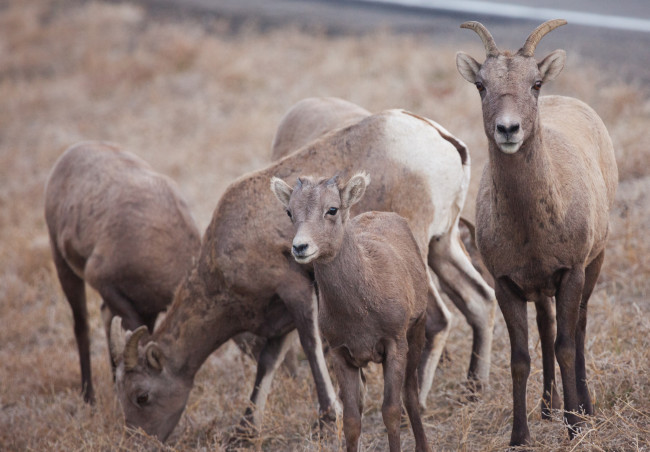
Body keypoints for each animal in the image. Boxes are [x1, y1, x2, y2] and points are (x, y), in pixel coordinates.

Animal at [44, 141, 200, 402]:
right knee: (82, 326)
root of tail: (70, 154)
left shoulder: (146, 309)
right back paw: (89, 398)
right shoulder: (104, 283)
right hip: (64, 266)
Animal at [270, 172, 430, 452]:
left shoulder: (395, 345)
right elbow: (352, 421)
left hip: (416, 333)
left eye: (332, 209)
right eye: (289, 211)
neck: (360, 310)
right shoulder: (341, 354)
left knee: (410, 393)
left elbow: (391, 411)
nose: (300, 247)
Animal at [456, 19, 616, 444]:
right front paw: (519, 437)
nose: (508, 129)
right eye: (481, 85)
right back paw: (547, 407)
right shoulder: (506, 283)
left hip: (594, 263)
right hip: (540, 288)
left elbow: (566, 346)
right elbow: (520, 359)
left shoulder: (571, 272)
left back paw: (582, 405)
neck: (530, 230)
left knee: (578, 327)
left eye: (535, 83)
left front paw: (576, 427)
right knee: (545, 328)